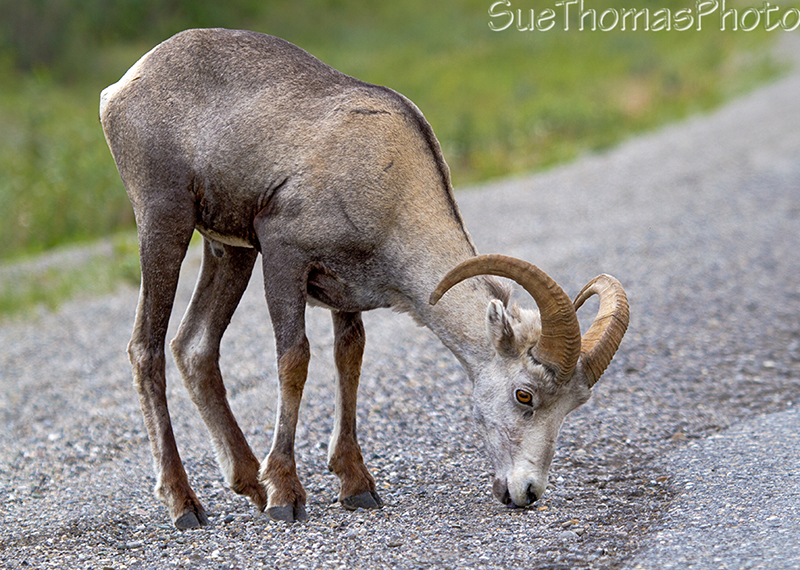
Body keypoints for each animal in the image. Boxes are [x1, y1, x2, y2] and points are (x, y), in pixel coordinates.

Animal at [100, 28, 629, 528]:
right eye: (525, 395)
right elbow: (295, 361)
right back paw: (185, 505)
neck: (389, 184)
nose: (526, 493)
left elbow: (348, 361)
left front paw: (356, 489)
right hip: (165, 223)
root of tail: (121, 87)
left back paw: (249, 486)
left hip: (229, 252)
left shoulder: (344, 293)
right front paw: (286, 497)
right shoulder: (283, 258)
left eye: (574, 405)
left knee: (194, 346)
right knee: (146, 349)